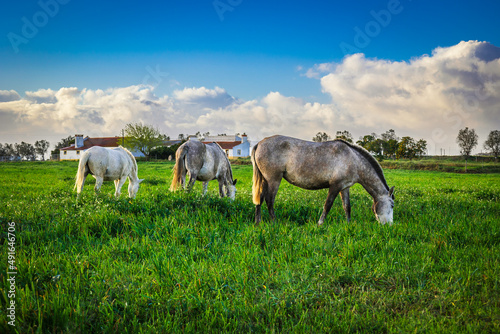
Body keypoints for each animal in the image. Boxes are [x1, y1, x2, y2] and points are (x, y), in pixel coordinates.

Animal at [252, 135, 396, 224]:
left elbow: (347, 207)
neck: (353, 159)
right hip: (273, 179)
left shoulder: (344, 187)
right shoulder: (335, 186)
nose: (389, 226)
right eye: (392, 205)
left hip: (265, 180)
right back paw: (274, 222)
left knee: (260, 198)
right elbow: (327, 205)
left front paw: (349, 224)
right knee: (269, 200)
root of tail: (259, 143)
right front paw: (320, 223)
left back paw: (258, 222)